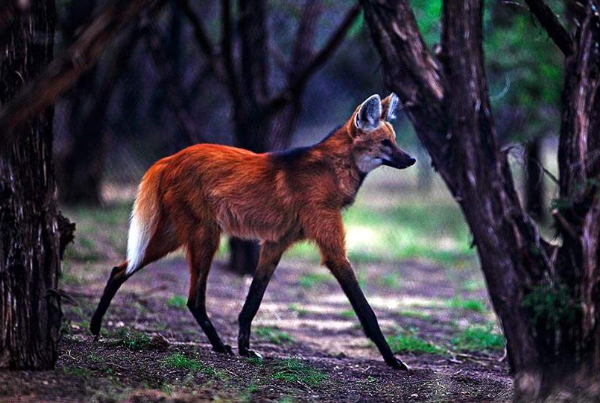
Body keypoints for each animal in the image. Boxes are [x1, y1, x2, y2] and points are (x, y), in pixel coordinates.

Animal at [90, 93, 418, 370]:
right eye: (385, 143)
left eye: (394, 140)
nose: (412, 159)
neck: (331, 171)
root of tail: (169, 158)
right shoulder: (332, 251)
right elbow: (366, 310)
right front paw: (393, 360)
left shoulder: (274, 244)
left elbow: (253, 301)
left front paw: (246, 348)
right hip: (205, 236)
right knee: (194, 299)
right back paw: (218, 345)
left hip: (173, 236)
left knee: (120, 269)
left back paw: (95, 326)